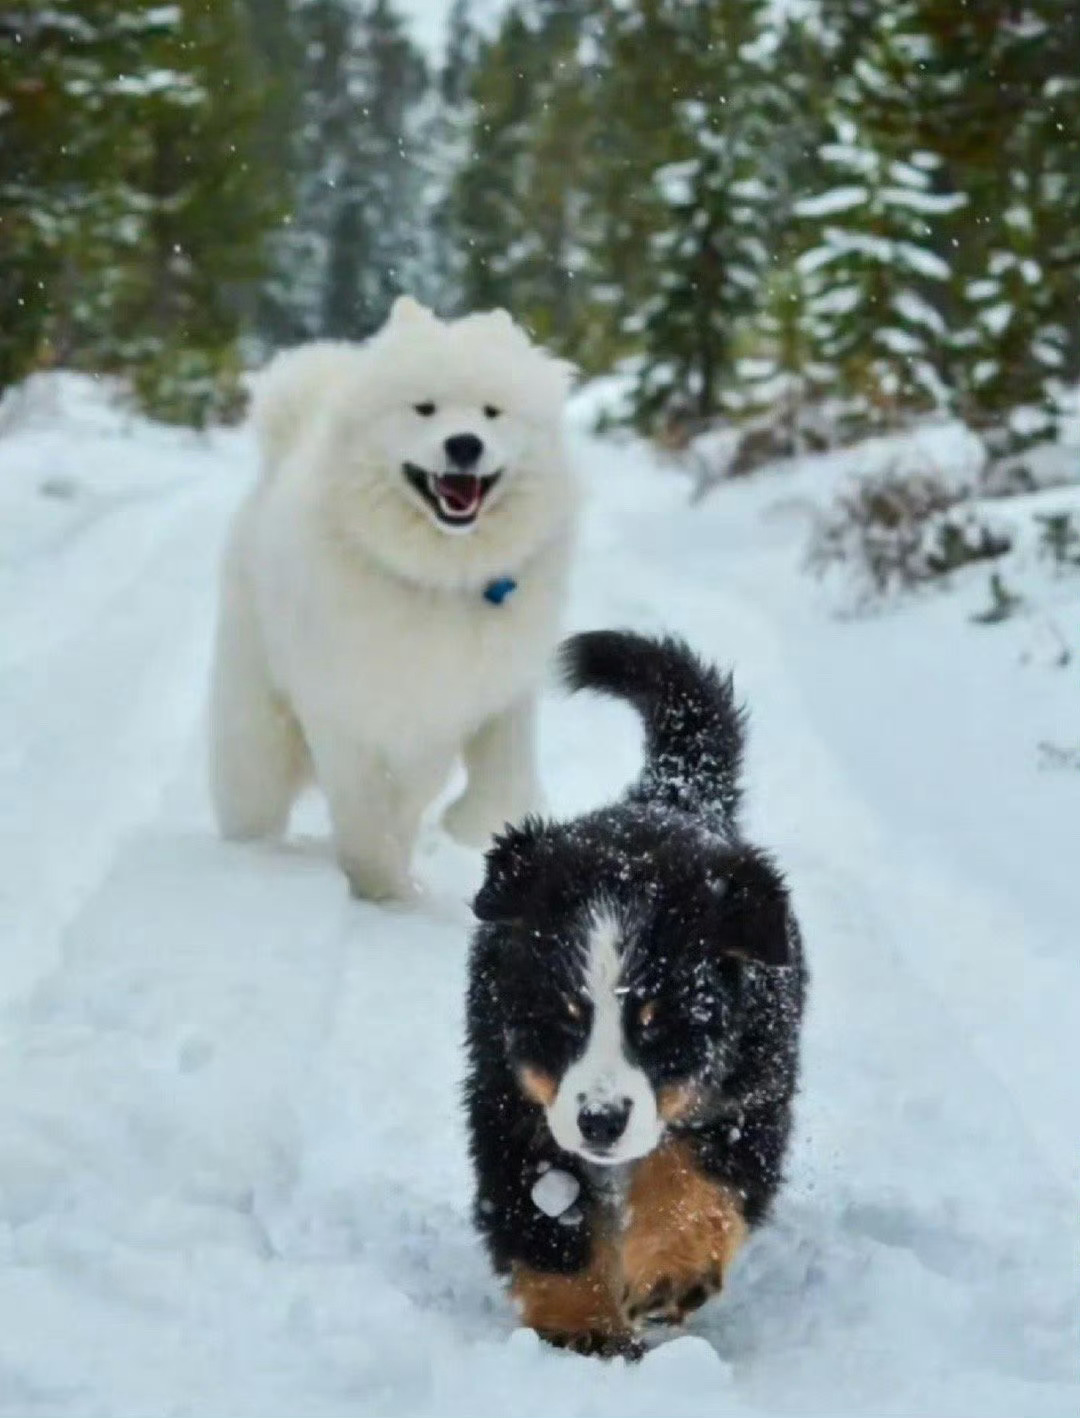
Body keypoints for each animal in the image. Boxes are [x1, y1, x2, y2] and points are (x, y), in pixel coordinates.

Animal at [212, 297, 581, 896]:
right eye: (424, 409)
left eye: (491, 413)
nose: (464, 444)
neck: (442, 578)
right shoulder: (346, 710)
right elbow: (364, 808)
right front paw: (377, 886)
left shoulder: (477, 695)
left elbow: (486, 784)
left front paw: (448, 834)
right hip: (256, 720)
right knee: (254, 787)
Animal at [459, 635, 805, 1361]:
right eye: (565, 1017)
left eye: (657, 1024)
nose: (600, 1122)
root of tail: (669, 796)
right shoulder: (507, 1092)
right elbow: (547, 1212)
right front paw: (582, 1326)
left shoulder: (750, 1094)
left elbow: (696, 1180)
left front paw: (672, 1272)